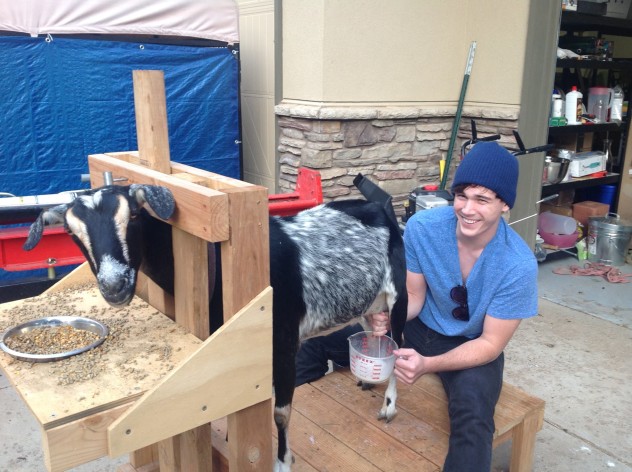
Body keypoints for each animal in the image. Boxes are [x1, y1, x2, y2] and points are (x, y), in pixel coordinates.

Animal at [23, 183, 404, 470]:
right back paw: (367, 378)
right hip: (368, 301)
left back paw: (388, 407)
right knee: (376, 333)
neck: (215, 266)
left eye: (133, 215)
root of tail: (380, 206)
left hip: (399, 292)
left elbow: (281, 412)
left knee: (399, 347)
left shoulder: (282, 339)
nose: (114, 285)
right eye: (71, 232)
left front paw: (282, 461)